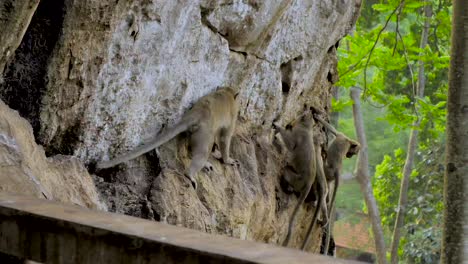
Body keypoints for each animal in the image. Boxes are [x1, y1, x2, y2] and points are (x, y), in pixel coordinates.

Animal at [97, 87, 239, 190]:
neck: (227, 92)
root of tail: (196, 113)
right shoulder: (233, 116)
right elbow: (225, 138)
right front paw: (227, 160)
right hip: (204, 133)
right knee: (203, 152)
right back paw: (190, 175)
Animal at [274, 110, 330, 250]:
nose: (308, 110)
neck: (306, 128)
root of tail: (308, 185)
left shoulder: (297, 133)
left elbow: (290, 144)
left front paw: (278, 127)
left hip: (296, 179)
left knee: (286, 171)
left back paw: (287, 185)